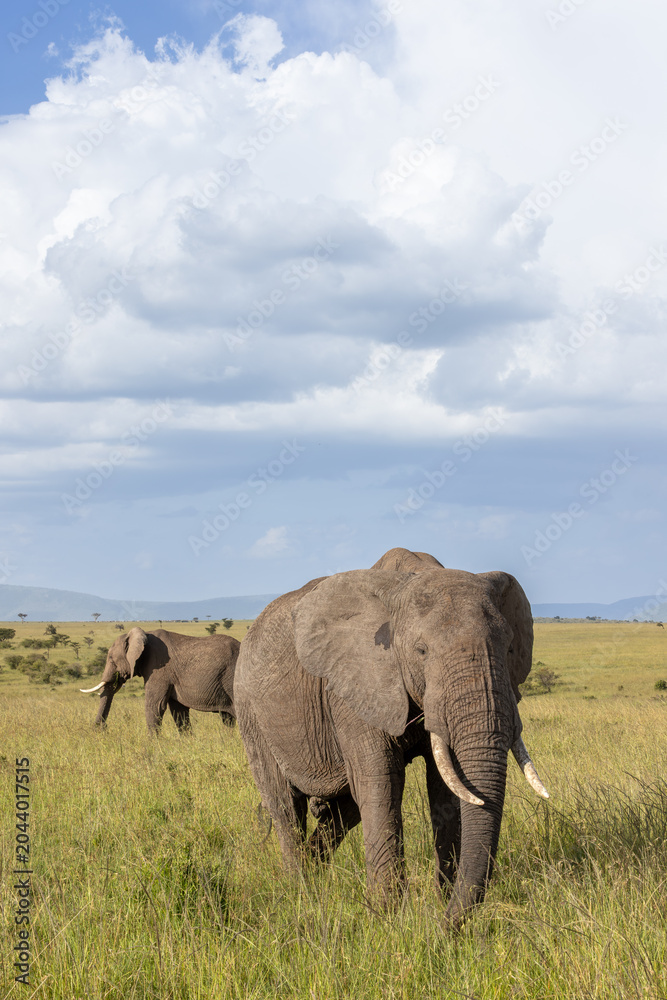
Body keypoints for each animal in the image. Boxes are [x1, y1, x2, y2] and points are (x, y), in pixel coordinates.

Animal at [80, 627, 239, 733]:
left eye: (111, 659)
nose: (101, 729)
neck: (144, 635)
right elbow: (178, 710)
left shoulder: (158, 669)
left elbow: (155, 705)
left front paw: (153, 746)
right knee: (227, 718)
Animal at [235, 548, 548, 928]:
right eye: (421, 651)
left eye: (509, 648)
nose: (443, 929)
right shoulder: (354, 687)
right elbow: (381, 782)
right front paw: (387, 918)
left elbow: (447, 787)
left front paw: (440, 900)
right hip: (250, 711)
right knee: (284, 805)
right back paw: (302, 891)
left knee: (344, 811)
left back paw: (314, 873)